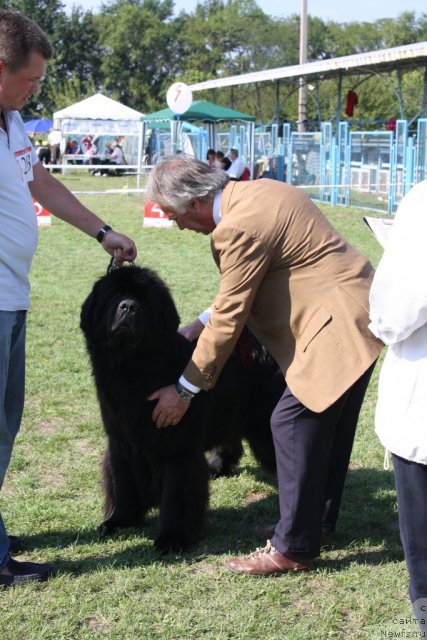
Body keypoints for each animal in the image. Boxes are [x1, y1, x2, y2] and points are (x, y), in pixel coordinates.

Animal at [80, 264, 284, 552]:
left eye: (145, 300)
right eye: (114, 295)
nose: (128, 306)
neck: (134, 370)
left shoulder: (177, 448)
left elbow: (177, 495)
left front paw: (172, 539)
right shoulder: (121, 441)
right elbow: (123, 483)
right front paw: (118, 521)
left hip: (264, 421)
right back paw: (217, 466)